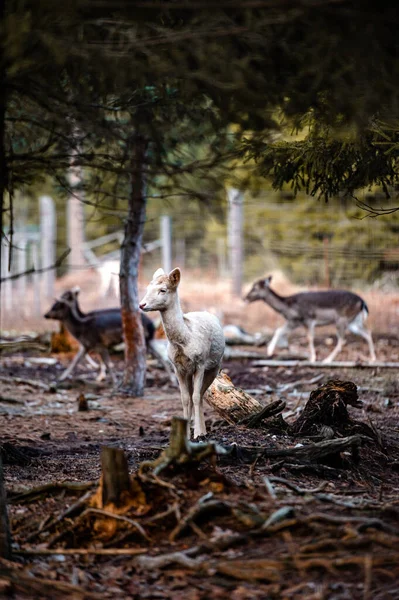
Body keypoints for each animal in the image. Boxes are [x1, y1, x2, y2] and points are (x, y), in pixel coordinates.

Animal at [140, 270, 225, 438]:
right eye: (148, 288)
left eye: (163, 290)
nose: (142, 304)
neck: (184, 340)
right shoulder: (178, 367)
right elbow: (185, 398)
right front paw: (184, 434)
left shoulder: (200, 363)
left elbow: (196, 397)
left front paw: (197, 434)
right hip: (189, 372)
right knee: (195, 395)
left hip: (215, 367)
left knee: (201, 394)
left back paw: (203, 431)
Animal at [244, 274, 378, 364]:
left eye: (255, 288)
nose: (245, 298)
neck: (288, 308)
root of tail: (363, 302)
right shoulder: (295, 322)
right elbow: (279, 331)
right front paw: (269, 351)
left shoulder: (308, 319)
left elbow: (309, 337)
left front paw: (312, 358)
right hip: (353, 322)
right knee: (367, 332)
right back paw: (372, 358)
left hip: (342, 320)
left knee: (342, 340)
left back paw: (327, 360)